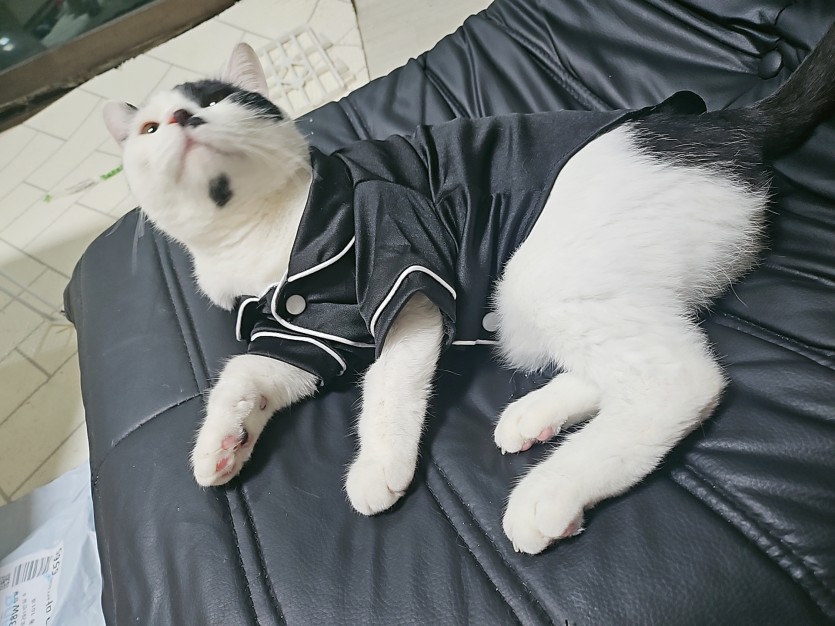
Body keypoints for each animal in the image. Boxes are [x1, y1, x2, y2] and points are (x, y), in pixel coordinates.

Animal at [103, 26, 835, 555]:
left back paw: (551, 491)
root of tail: (718, 127)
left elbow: (387, 386)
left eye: (219, 100)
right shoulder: (302, 338)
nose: (183, 121)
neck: (264, 238)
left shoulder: (406, 272)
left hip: (542, 274)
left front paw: (378, 465)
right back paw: (533, 418)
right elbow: (243, 375)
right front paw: (221, 443)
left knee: (678, 379)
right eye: (149, 129)